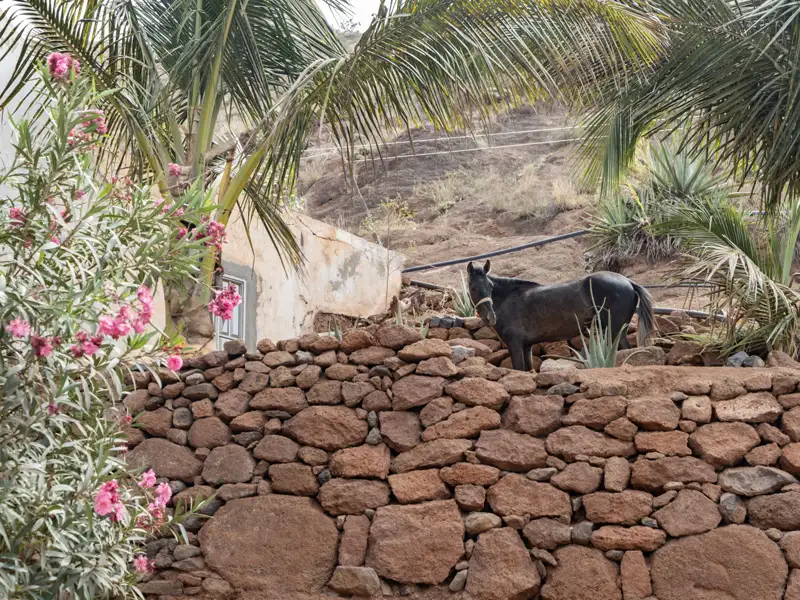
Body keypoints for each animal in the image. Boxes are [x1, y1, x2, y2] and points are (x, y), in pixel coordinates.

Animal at [466, 260, 655, 371]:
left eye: (490, 287)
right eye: (473, 287)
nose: (490, 317)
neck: (508, 299)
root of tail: (628, 281)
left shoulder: (515, 344)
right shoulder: (526, 346)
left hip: (615, 331)